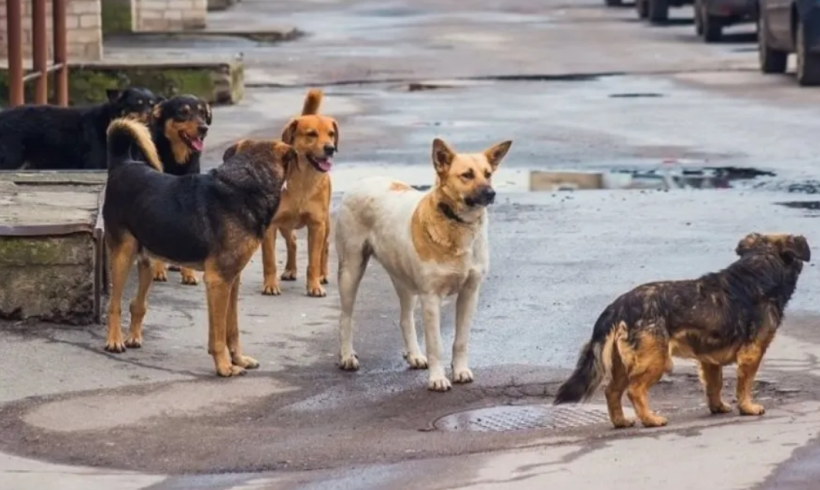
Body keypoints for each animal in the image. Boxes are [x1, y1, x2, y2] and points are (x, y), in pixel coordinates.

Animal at [0, 87, 161, 171]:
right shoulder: (96, 164)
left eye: (152, 104)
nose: (150, 114)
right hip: (11, 159)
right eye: (138, 103)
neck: (109, 120)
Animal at [147, 94, 211, 288]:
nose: (204, 128)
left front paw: (188, 273)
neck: (177, 160)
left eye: (203, 113)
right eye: (183, 112)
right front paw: (158, 270)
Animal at [334, 137, 512, 390]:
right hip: (351, 270)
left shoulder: (470, 294)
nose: (491, 193)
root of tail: (363, 180)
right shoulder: (431, 298)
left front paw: (460, 371)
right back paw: (347, 356)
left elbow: (460, 340)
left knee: (405, 319)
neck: (456, 224)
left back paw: (415, 355)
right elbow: (436, 344)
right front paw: (437, 378)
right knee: (346, 317)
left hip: (404, 281)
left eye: (488, 174)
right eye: (466, 175)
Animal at [556, 232, 812, 426]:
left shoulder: (709, 360)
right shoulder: (752, 353)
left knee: (611, 391)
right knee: (634, 390)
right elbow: (745, 385)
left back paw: (621, 421)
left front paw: (717, 407)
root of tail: (618, 306)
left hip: (622, 364)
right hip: (656, 360)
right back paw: (651, 419)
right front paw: (748, 407)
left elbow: (714, 385)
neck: (759, 267)